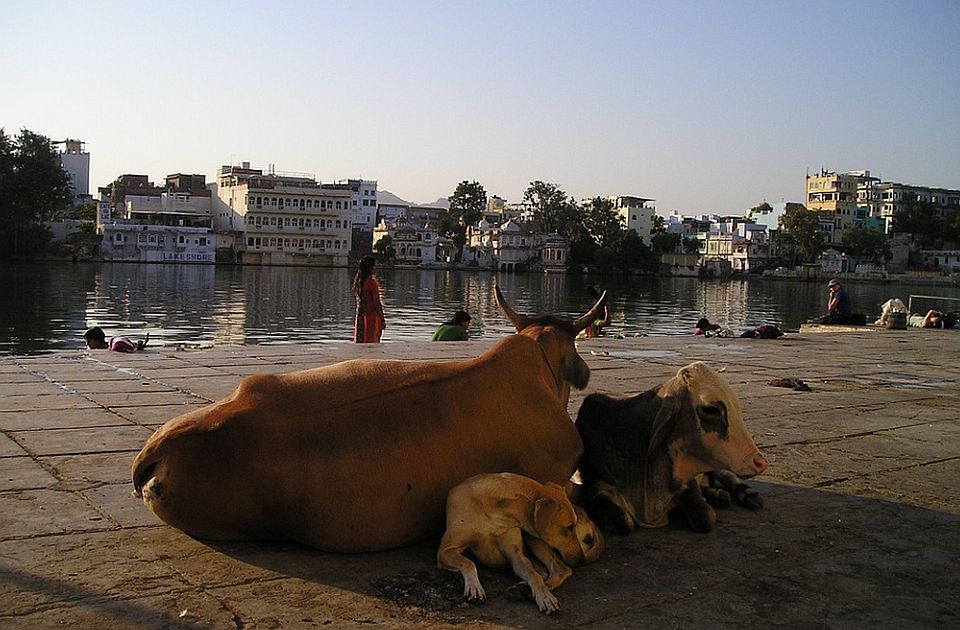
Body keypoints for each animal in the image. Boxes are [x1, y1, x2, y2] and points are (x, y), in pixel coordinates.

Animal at [436, 474, 604, 616]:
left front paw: (545, 597)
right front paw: (474, 587)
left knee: (560, 569)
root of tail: (591, 520)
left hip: (534, 539)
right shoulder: (445, 550)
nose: (581, 559)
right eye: (569, 527)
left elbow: (532, 574)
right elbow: (468, 562)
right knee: (549, 570)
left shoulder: (515, 553)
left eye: (574, 526)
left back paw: (529, 590)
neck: (493, 510)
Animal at [572, 362, 768, 536]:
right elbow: (623, 522)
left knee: (726, 476)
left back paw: (746, 495)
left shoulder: (687, 482)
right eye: (711, 410)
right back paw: (717, 495)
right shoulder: (596, 486)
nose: (760, 462)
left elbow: (705, 517)